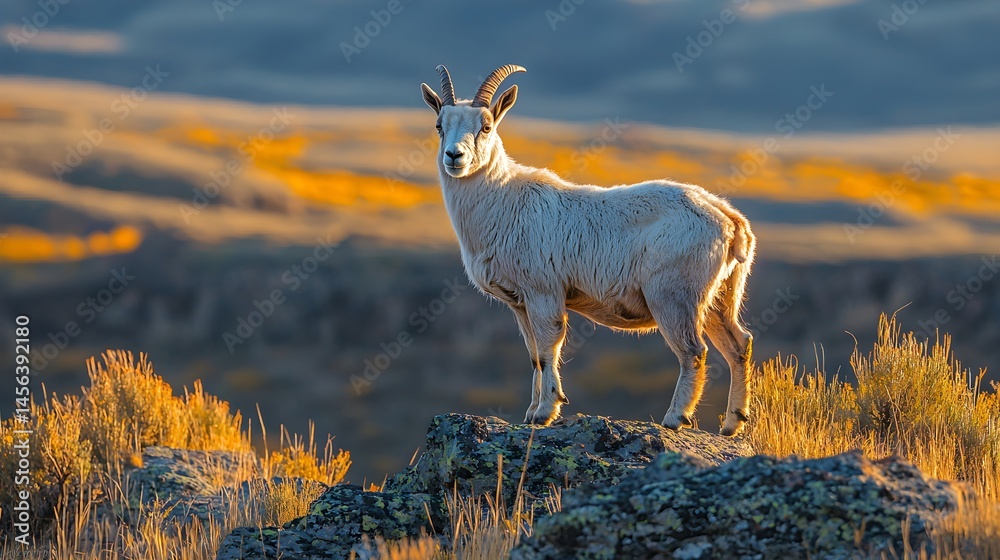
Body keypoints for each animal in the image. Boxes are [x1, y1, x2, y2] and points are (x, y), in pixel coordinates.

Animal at [420, 64, 756, 436]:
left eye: (486, 126)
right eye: (439, 126)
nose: (455, 156)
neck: (504, 201)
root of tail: (729, 220)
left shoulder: (544, 291)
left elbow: (548, 347)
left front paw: (546, 412)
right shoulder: (519, 303)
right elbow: (533, 355)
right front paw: (530, 413)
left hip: (674, 296)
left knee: (694, 352)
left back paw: (675, 417)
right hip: (720, 297)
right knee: (739, 344)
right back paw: (732, 423)